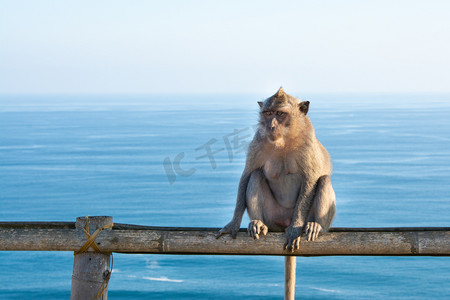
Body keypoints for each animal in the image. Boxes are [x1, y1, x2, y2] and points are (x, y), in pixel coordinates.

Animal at [216, 87, 336, 251]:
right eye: (268, 113)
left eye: (280, 114)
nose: (271, 126)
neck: (284, 140)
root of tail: (285, 222)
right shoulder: (258, 141)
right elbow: (247, 174)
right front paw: (233, 223)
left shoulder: (308, 142)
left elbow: (310, 180)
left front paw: (295, 229)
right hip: (273, 217)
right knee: (256, 175)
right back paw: (258, 223)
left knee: (324, 180)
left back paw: (316, 226)